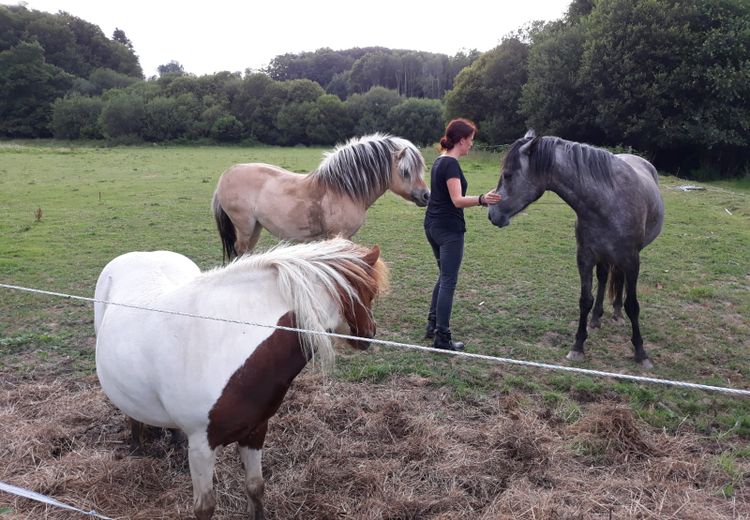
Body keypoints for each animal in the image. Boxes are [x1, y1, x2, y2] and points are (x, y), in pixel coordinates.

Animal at [93, 238, 388, 516]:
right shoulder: (201, 447)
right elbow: (205, 507)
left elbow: (256, 487)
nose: (370, 333)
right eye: (370, 293)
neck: (228, 345)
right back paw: (136, 446)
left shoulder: (256, 430)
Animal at [214, 133, 432, 260]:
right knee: (239, 250)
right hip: (244, 227)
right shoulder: (338, 236)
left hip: (255, 227)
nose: (426, 195)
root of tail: (226, 175)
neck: (342, 189)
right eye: (405, 172)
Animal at [490, 131, 668, 370]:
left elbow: (633, 305)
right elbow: (585, 300)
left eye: (508, 175)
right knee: (604, 278)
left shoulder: (632, 260)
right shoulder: (585, 257)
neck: (608, 200)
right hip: (604, 257)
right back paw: (596, 318)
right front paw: (578, 346)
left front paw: (641, 352)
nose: (492, 214)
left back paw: (617, 313)